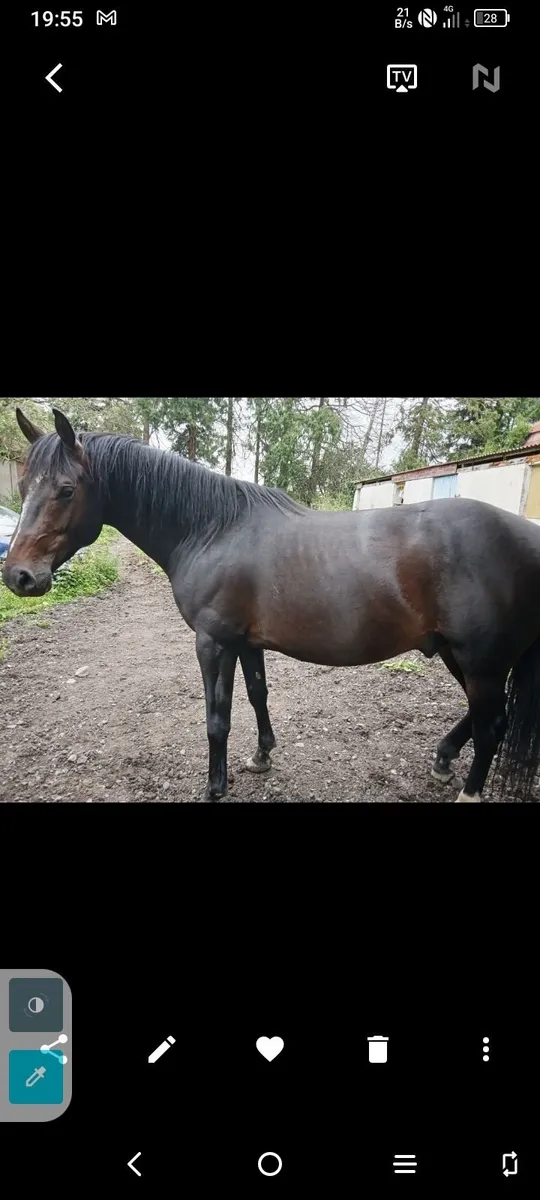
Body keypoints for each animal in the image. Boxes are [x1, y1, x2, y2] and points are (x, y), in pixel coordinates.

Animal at [3, 406, 540, 803]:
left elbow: (217, 718)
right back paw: (444, 759)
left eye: (66, 490)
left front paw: (214, 787)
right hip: (457, 652)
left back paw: (468, 789)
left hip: (481, 659)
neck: (212, 529)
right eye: (24, 487)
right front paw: (262, 756)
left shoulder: (213, 642)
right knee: (484, 715)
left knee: (493, 724)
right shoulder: (246, 641)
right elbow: (258, 695)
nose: (19, 576)